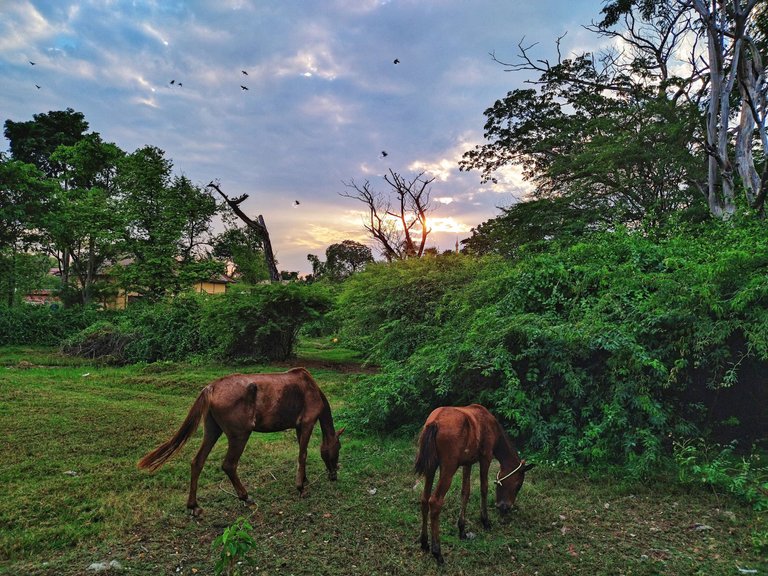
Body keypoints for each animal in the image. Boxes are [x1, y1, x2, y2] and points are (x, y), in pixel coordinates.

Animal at [136, 366, 344, 516]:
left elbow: (302, 453)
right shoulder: (307, 423)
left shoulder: (299, 427)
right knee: (229, 465)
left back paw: (194, 506)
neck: (312, 389)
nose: (334, 474)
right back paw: (246, 497)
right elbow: (303, 454)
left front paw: (304, 479)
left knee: (197, 462)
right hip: (240, 435)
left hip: (212, 430)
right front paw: (301, 487)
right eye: (338, 448)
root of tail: (211, 387)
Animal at [414, 402, 536, 564]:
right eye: (518, 485)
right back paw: (437, 552)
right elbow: (484, 488)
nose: (505, 507)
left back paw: (424, 542)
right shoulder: (486, 458)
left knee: (424, 499)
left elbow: (465, 492)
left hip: (431, 467)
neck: (491, 425)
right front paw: (485, 521)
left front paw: (462, 530)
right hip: (448, 468)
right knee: (435, 502)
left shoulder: (467, 463)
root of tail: (434, 422)